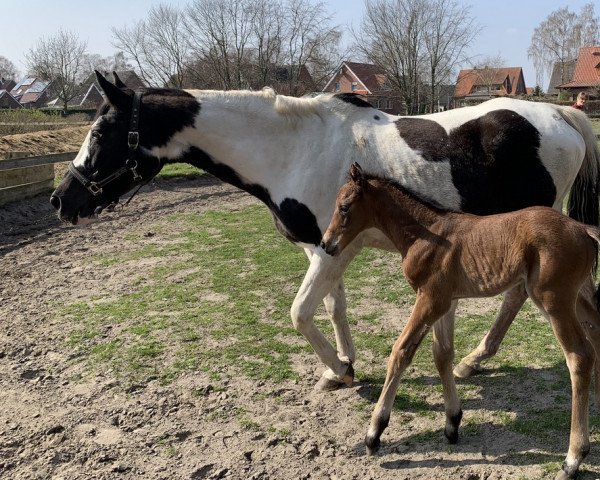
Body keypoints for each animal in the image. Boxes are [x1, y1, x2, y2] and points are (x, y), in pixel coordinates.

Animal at [50, 71, 600, 392]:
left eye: (100, 132)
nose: (61, 201)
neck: (292, 148)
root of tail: (561, 114)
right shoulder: (325, 248)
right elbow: (333, 307)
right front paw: (345, 364)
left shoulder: (330, 252)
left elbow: (299, 313)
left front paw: (336, 369)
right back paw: (474, 360)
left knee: (517, 296)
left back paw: (474, 359)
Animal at [322, 163, 600, 478]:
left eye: (344, 207)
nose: (326, 244)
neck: (425, 233)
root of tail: (583, 229)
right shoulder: (445, 302)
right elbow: (442, 354)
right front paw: (452, 422)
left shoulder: (430, 300)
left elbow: (401, 352)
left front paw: (374, 434)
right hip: (576, 298)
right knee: (597, 332)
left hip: (554, 300)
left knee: (579, 356)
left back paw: (573, 458)